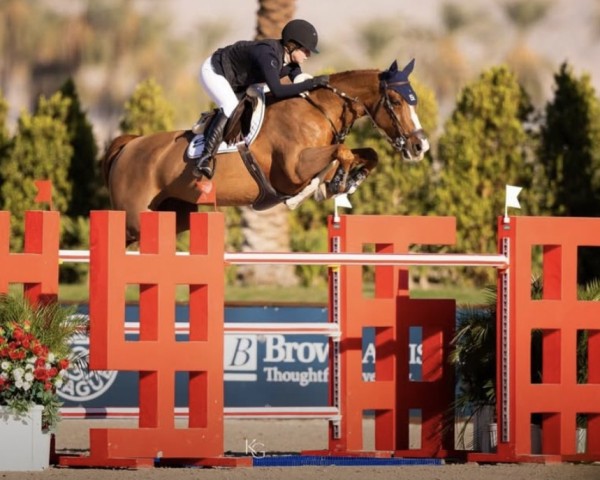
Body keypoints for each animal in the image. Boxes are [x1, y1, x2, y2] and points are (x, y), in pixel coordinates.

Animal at [104, 60, 432, 246]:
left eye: (413, 101)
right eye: (396, 101)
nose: (420, 147)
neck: (319, 110)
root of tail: (129, 145)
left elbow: (366, 153)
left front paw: (348, 182)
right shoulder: (293, 170)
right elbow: (342, 152)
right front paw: (337, 183)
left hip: (174, 215)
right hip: (133, 218)